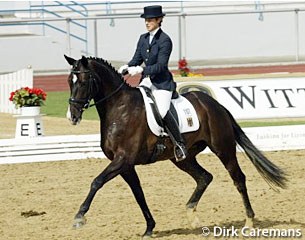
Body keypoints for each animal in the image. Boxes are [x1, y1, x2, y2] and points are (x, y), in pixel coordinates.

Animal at [63, 55, 284, 238]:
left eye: (83, 82)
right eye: (68, 81)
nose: (72, 117)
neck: (120, 108)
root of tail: (216, 105)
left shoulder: (123, 159)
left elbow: (97, 182)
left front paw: (79, 217)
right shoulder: (125, 165)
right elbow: (138, 193)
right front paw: (149, 228)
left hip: (223, 149)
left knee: (238, 179)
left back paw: (249, 222)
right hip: (183, 157)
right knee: (204, 177)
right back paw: (192, 215)